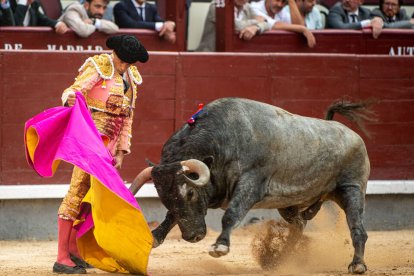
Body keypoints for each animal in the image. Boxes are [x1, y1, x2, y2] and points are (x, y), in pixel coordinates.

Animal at [130, 97, 372, 274]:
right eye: (163, 198)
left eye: (190, 192)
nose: (193, 237)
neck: (222, 142)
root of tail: (351, 134)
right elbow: (172, 216)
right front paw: (154, 237)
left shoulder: (250, 186)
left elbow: (231, 214)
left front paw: (220, 246)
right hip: (289, 204)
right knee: (299, 225)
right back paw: (280, 260)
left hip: (352, 189)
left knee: (358, 228)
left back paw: (357, 265)